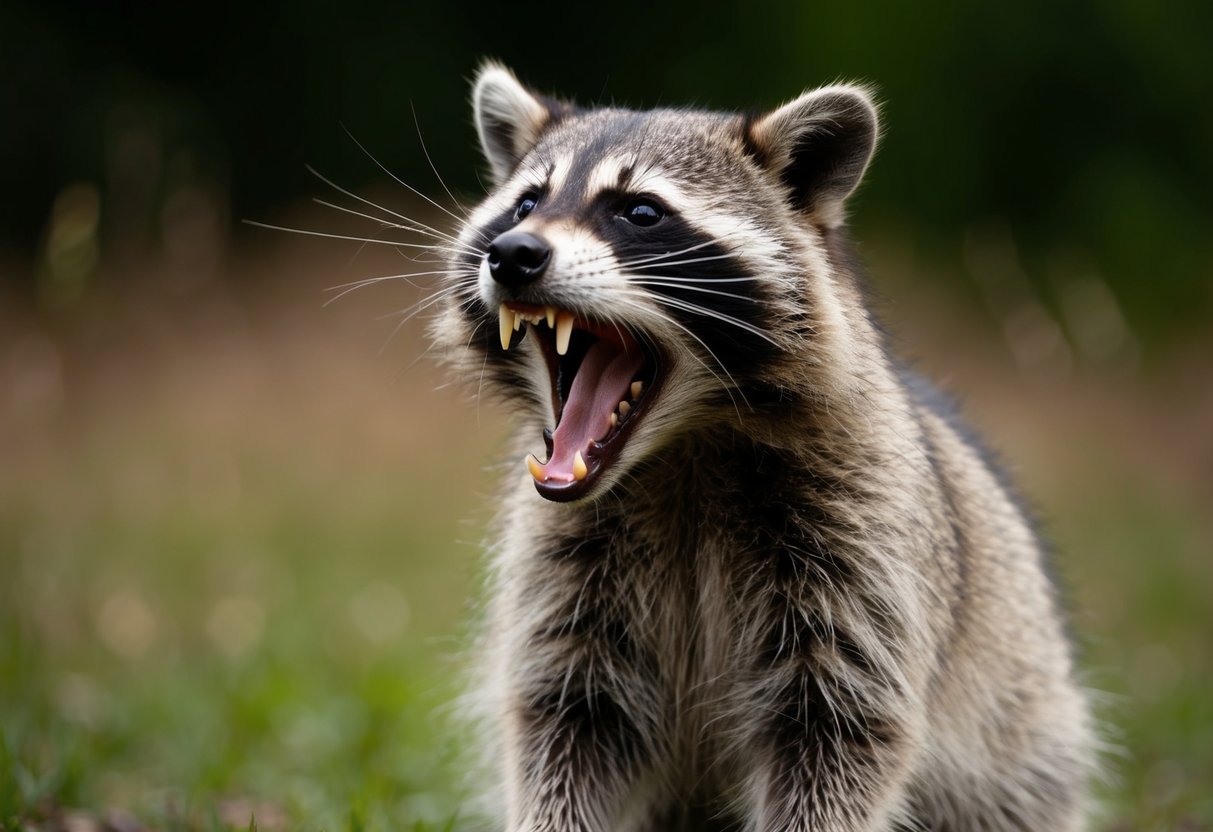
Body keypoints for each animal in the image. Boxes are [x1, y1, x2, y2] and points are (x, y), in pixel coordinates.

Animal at [430, 63, 1097, 831]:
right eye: (526, 203)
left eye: (641, 213)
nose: (512, 253)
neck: (681, 448)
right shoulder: (561, 571)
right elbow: (563, 722)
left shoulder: (864, 550)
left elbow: (840, 732)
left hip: (1026, 728)